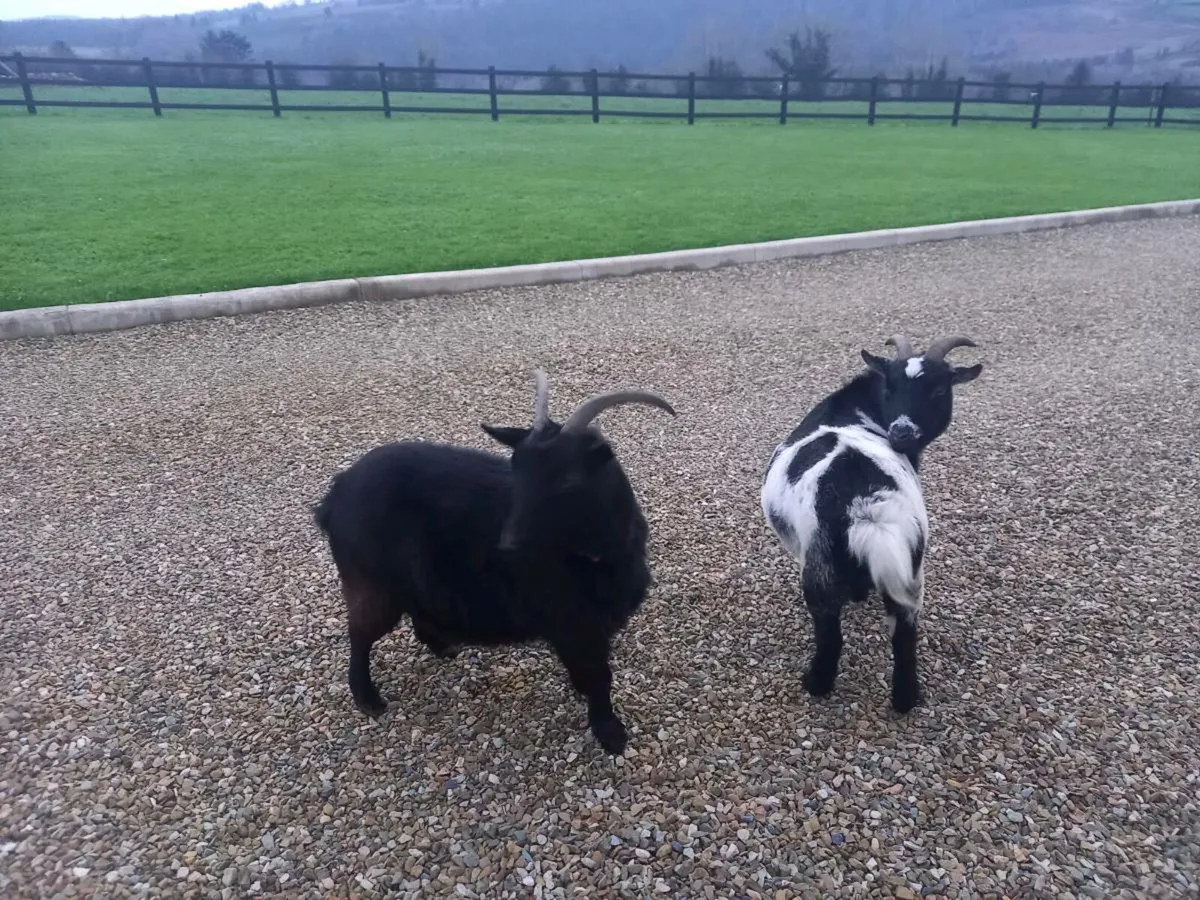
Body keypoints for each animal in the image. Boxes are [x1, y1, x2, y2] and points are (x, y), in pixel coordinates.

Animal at [313, 369, 675, 755]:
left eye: (569, 479)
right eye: (516, 466)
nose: (509, 544)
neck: (599, 556)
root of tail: (335, 495)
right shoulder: (571, 619)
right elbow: (599, 675)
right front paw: (609, 732)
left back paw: (442, 645)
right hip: (372, 583)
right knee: (360, 634)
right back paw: (368, 698)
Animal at [760, 334, 983, 713]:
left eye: (939, 389)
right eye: (890, 386)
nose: (902, 432)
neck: (857, 410)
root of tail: (867, 508)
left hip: (819, 570)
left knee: (831, 636)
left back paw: (815, 684)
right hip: (910, 571)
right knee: (905, 636)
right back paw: (905, 700)